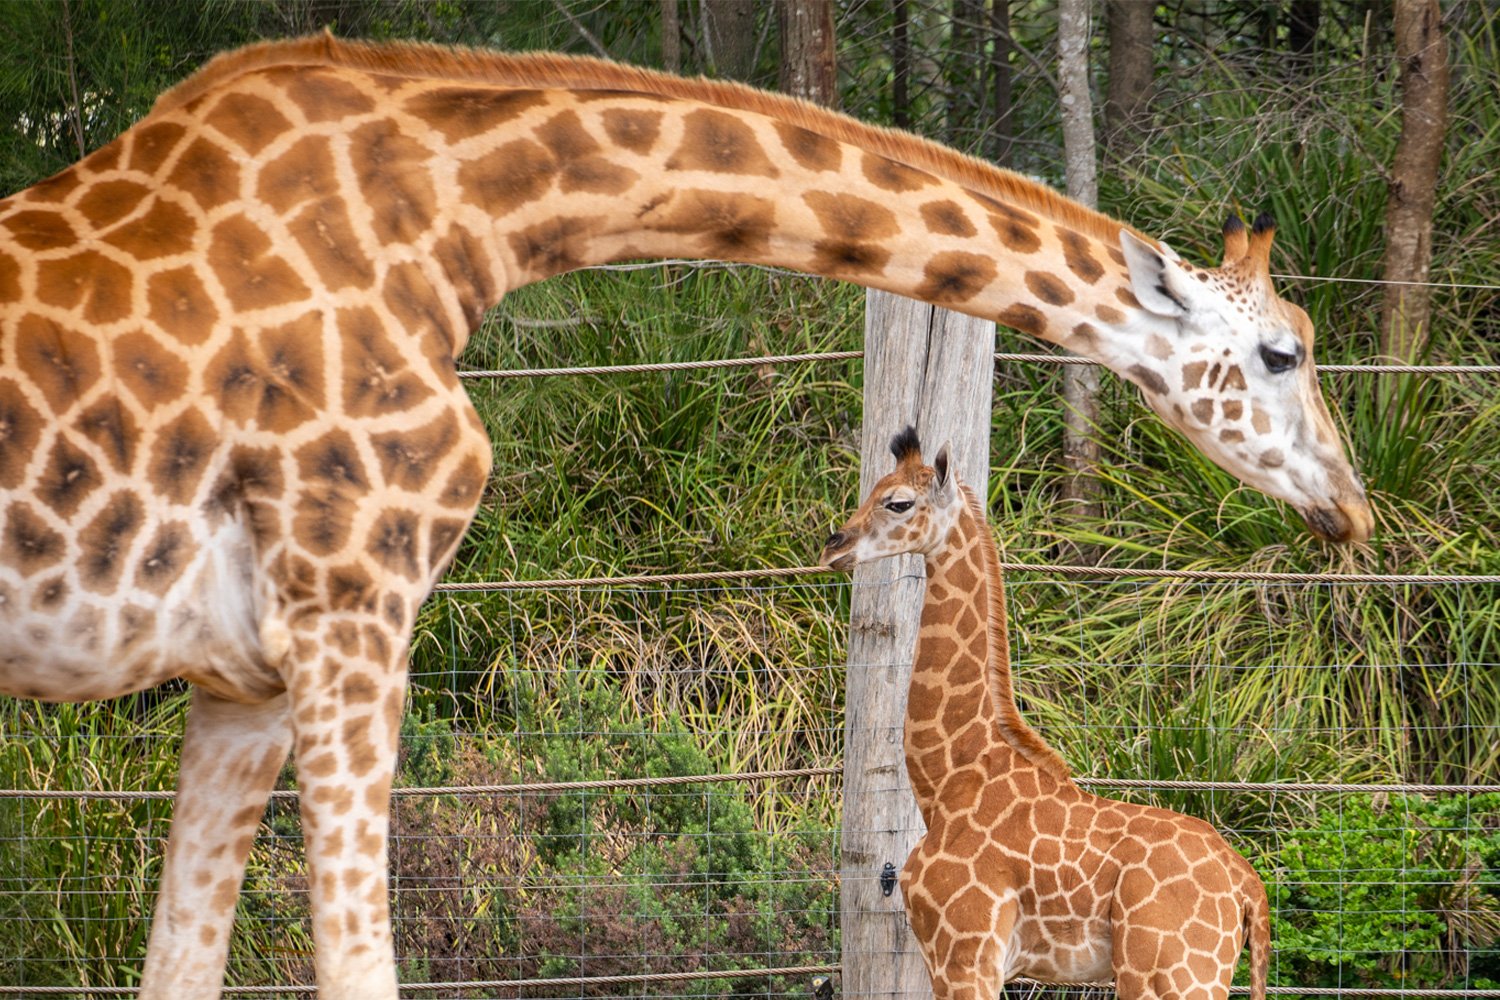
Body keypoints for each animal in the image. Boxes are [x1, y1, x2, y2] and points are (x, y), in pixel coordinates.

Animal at [821, 427, 1271, 1000]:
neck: (946, 780)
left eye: (897, 502)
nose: (834, 546)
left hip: (1168, 973)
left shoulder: (964, 953)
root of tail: (1248, 887)